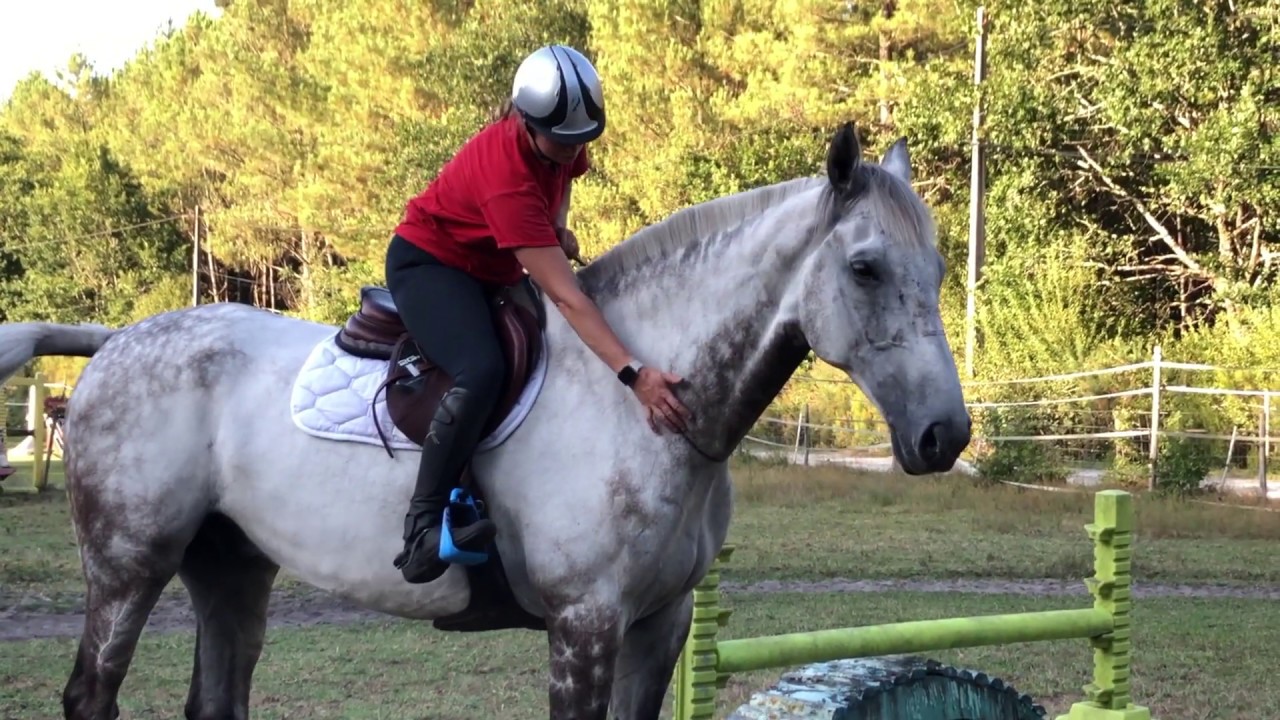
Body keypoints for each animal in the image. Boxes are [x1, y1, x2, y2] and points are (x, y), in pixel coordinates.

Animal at [0, 122, 970, 720]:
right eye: (867, 268)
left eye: (936, 268)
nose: (945, 435)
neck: (643, 405)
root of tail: (118, 340)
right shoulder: (585, 626)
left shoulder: (660, 626)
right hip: (128, 566)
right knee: (91, 692)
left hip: (230, 566)